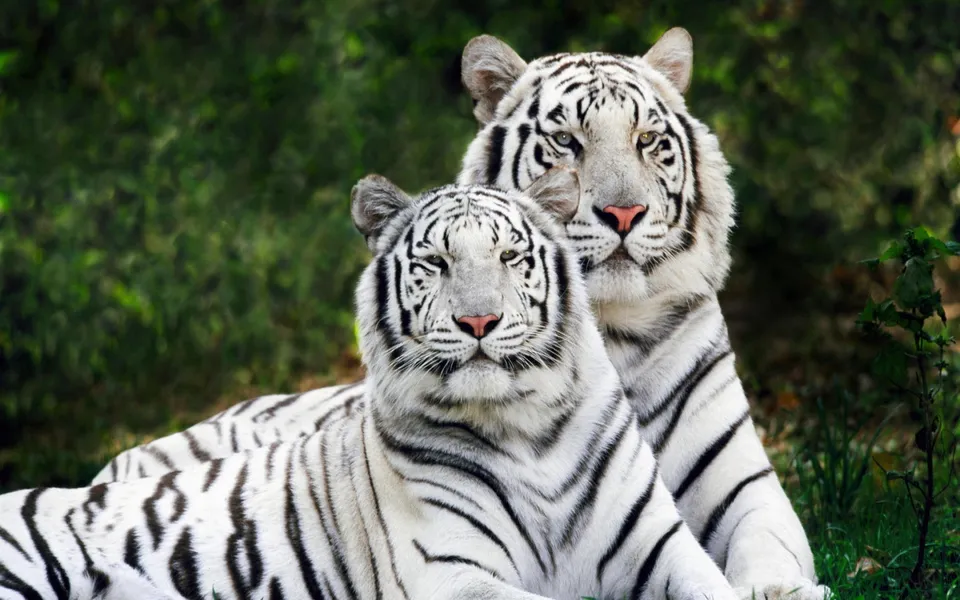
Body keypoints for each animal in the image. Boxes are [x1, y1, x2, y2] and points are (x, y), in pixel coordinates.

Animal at [0, 171, 741, 600]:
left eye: (509, 256)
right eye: (436, 263)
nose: (478, 321)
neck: (526, 427)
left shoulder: (658, 544)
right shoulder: (448, 571)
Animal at [91, 28, 828, 600]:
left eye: (649, 141)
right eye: (567, 143)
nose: (623, 213)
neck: (612, 330)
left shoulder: (745, 488)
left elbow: (769, 551)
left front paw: (784, 588)